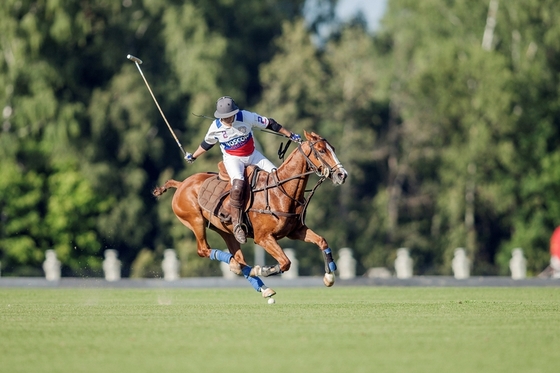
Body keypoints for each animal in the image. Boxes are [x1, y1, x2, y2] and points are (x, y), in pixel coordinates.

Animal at [152, 129, 346, 298]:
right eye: (321, 150)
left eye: (333, 149)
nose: (342, 175)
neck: (280, 192)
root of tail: (181, 184)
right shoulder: (263, 237)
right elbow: (285, 262)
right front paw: (264, 269)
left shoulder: (296, 231)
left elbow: (322, 241)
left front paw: (329, 277)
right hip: (195, 221)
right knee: (204, 250)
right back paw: (240, 268)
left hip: (225, 229)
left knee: (238, 257)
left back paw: (259, 284)